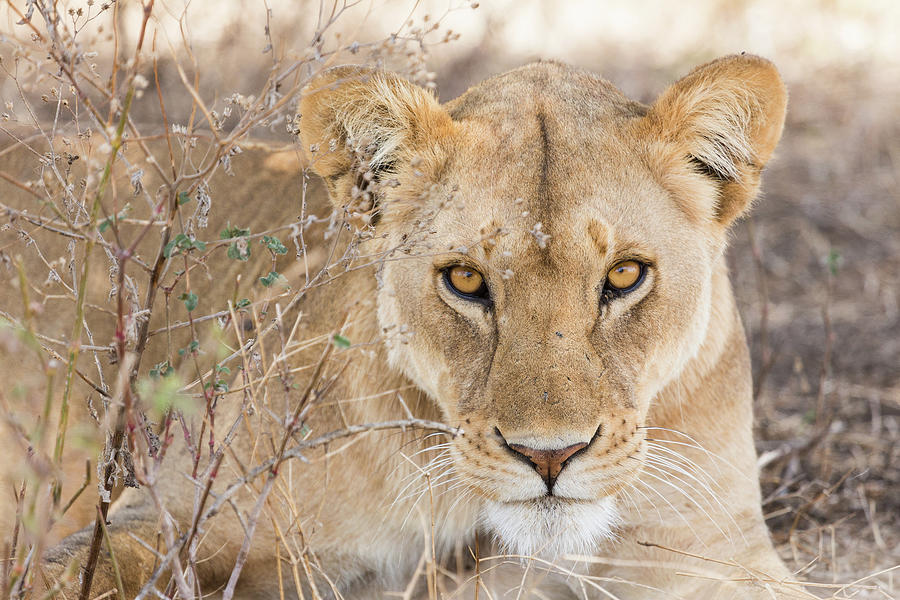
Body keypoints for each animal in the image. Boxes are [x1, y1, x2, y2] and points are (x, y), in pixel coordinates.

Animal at [1, 54, 804, 598]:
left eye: (626, 276)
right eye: (467, 281)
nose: (549, 457)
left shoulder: (715, 553)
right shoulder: (169, 516)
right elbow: (91, 572)